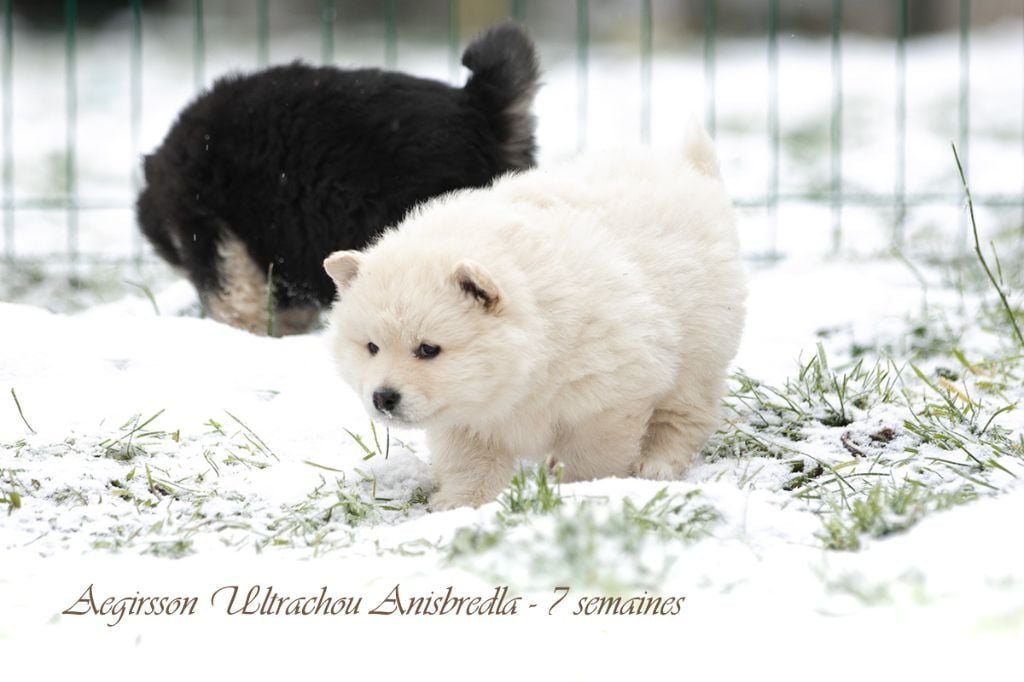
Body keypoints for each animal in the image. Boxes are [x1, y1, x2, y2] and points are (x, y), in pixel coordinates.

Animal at [322, 122, 746, 510]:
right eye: (371, 347)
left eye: (428, 349)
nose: (383, 397)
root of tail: (692, 173)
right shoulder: (465, 416)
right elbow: (469, 463)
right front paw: (461, 505)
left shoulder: (608, 397)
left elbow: (594, 454)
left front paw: (582, 490)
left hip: (698, 349)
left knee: (684, 414)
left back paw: (656, 464)